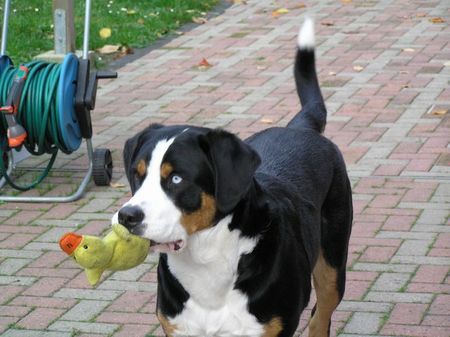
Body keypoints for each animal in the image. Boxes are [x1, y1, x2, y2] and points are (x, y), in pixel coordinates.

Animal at [114, 19, 354, 336]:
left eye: (176, 179)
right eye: (137, 175)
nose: (127, 216)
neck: (205, 263)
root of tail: (300, 127)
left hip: (332, 265)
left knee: (320, 315)